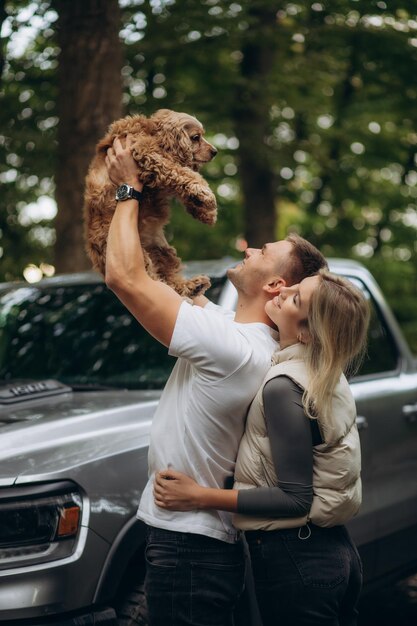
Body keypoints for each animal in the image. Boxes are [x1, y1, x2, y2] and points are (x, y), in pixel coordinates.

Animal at [83, 109, 216, 298]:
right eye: (196, 137)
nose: (215, 151)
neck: (151, 132)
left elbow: (182, 181)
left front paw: (205, 211)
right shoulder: (146, 152)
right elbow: (180, 171)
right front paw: (204, 191)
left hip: (162, 251)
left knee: (171, 281)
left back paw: (193, 286)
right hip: (131, 253)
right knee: (153, 279)